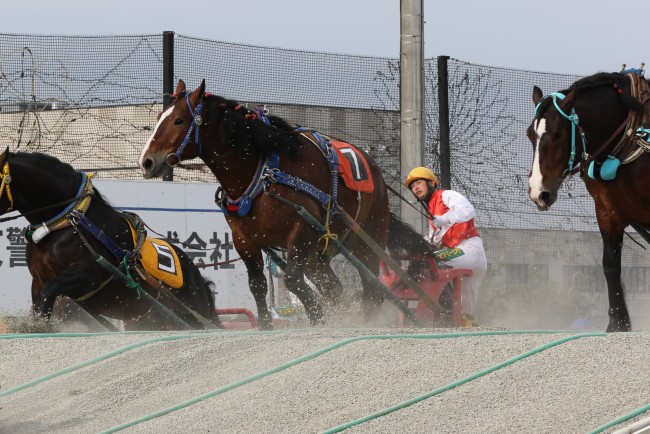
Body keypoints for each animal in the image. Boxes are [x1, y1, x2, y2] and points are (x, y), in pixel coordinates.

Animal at [0, 147, 221, 330]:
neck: (63, 223)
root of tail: (198, 279)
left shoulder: (88, 274)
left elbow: (50, 292)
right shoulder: (38, 281)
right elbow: (41, 303)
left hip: (190, 315)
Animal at [139, 79, 428, 328]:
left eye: (179, 120)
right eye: (158, 118)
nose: (147, 161)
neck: (262, 174)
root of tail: (376, 172)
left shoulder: (301, 231)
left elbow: (292, 280)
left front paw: (319, 318)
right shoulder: (244, 240)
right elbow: (258, 285)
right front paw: (267, 325)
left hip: (366, 241)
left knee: (371, 289)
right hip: (319, 254)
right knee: (334, 288)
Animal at [528, 70, 648, 332]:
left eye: (558, 134)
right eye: (530, 135)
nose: (538, 192)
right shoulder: (606, 211)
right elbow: (610, 264)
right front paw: (617, 321)